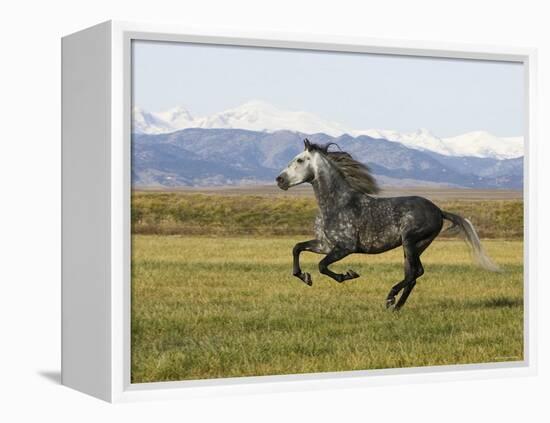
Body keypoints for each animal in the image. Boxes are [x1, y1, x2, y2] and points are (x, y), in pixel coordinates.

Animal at [276, 139, 500, 312]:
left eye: (299, 160)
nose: (279, 180)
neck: (338, 203)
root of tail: (438, 211)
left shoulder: (346, 247)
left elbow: (322, 266)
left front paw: (348, 275)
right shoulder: (325, 244)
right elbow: (297, 247)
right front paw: (305, 277)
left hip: (411, 241)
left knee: (416, 272)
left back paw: (390, 297)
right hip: (415, 246)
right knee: (413, 275)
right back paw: (396, 306)